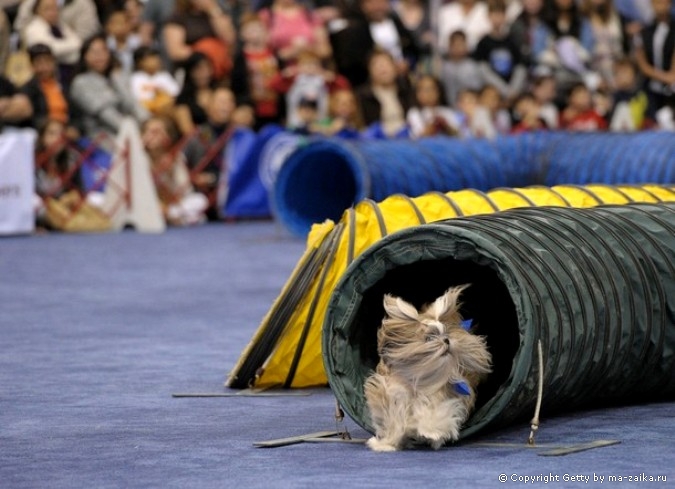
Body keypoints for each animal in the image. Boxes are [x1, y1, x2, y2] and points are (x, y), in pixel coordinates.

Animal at [364, 286, 492, 450]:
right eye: (429, 338)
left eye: (446, 333)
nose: (446, 340)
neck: (420, 377)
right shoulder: (390, 393)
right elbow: (394, 420)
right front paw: (386, 444)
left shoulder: (444, 394)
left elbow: (435, 411)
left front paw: (431, 433)